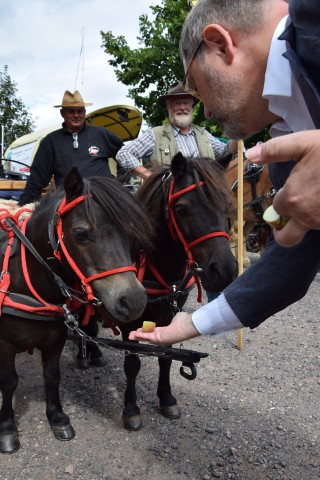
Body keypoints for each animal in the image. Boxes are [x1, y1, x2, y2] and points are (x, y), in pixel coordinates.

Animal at [0, 166, 154, 454]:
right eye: (81, 234)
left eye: (131, 236)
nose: (134, 300)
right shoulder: (4, 344)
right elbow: (9, 381)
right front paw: (6, 428)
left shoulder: (56, 339)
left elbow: (52, 376)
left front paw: (57, 417)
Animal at [117, 152, 238, 430]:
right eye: (182, 208)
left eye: (227, 205)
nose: (225, 270)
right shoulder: (129, 319)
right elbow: (132, 363)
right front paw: (131, 408)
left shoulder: (172, 311)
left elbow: (166, 356)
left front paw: (167, 398)